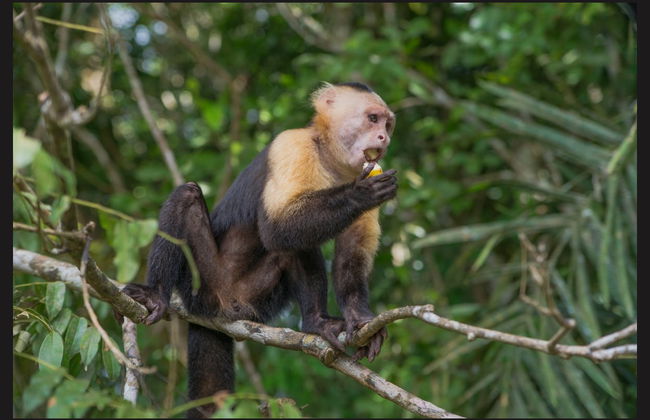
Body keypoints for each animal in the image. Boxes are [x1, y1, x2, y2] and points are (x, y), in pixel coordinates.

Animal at [119, 82, 397, 417]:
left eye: (387, 124)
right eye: (372, 119)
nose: (384, 138)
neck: (330, 156)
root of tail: (220, 308)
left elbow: (351, 251)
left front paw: (361, 319)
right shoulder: (292, 146)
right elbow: (276, 227)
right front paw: (361, 193)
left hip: (258, 297)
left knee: (293, 249)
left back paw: (316, 323)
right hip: (200, 283)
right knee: (189, 195)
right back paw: (156, 293)